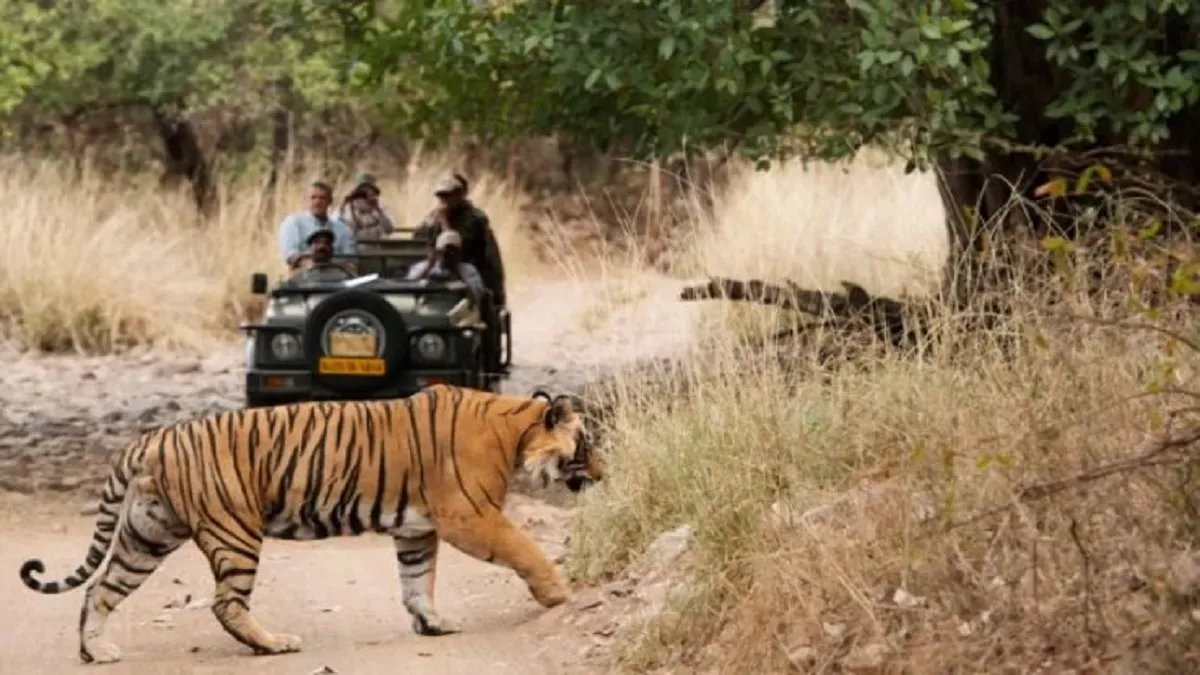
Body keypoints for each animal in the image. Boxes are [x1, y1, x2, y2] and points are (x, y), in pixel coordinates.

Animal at [18, 384, 603, 664]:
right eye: (586, 443)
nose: (603, 471)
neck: (515, 430)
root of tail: (150, 438)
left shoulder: (417, 529)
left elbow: (417, 581)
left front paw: (433, 624)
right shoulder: (470, 516)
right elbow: (526, 549)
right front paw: (559, 593)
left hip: (147, 535)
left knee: (98, 590)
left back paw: (97, 652)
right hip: (234, 531)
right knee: (225, 603)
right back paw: (273, 644)